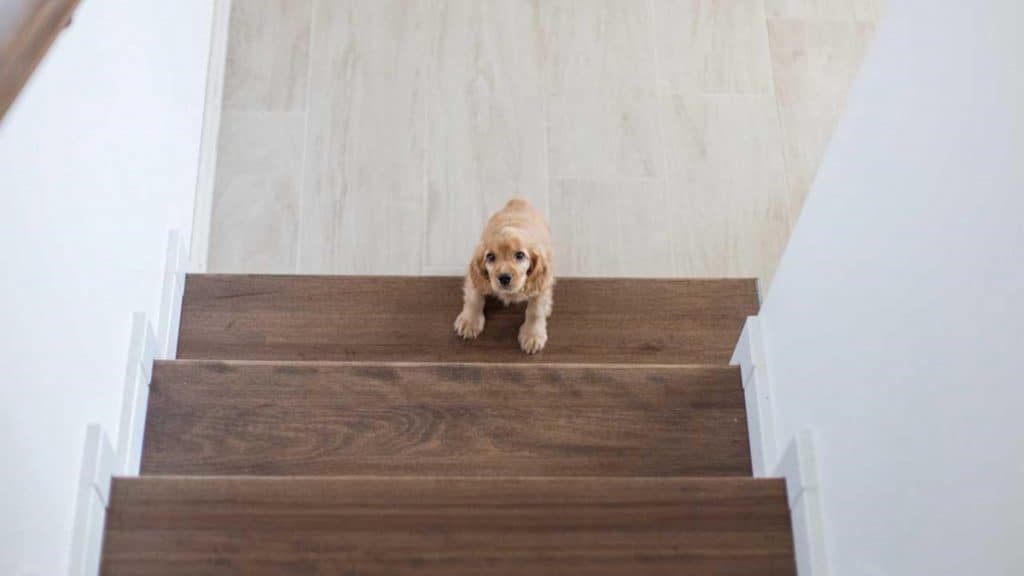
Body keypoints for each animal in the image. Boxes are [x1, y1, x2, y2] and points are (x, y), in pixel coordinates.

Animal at [454, 196, 552, 352]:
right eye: (490, 257)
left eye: (520, 255)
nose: (504, 278)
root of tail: (518, 200)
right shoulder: (474, 278)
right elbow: (474, 298)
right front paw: (469, 322)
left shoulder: (541, 284)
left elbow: (535, 310)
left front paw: (532, 335)